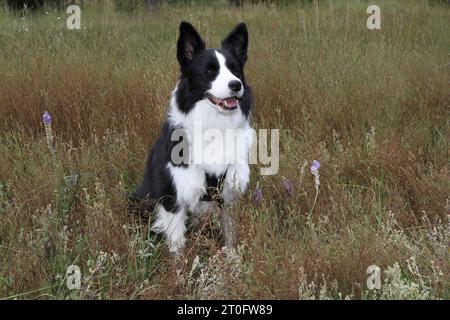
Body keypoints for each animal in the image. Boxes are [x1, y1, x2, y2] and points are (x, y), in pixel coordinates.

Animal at [134, 21, 253, 254]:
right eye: (209, 71)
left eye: (235, 69)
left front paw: (232, 260)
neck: (215, 127)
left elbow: (230, 236)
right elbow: (177, 246)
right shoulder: (173, 198)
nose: (236, 85)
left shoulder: (229, 196)